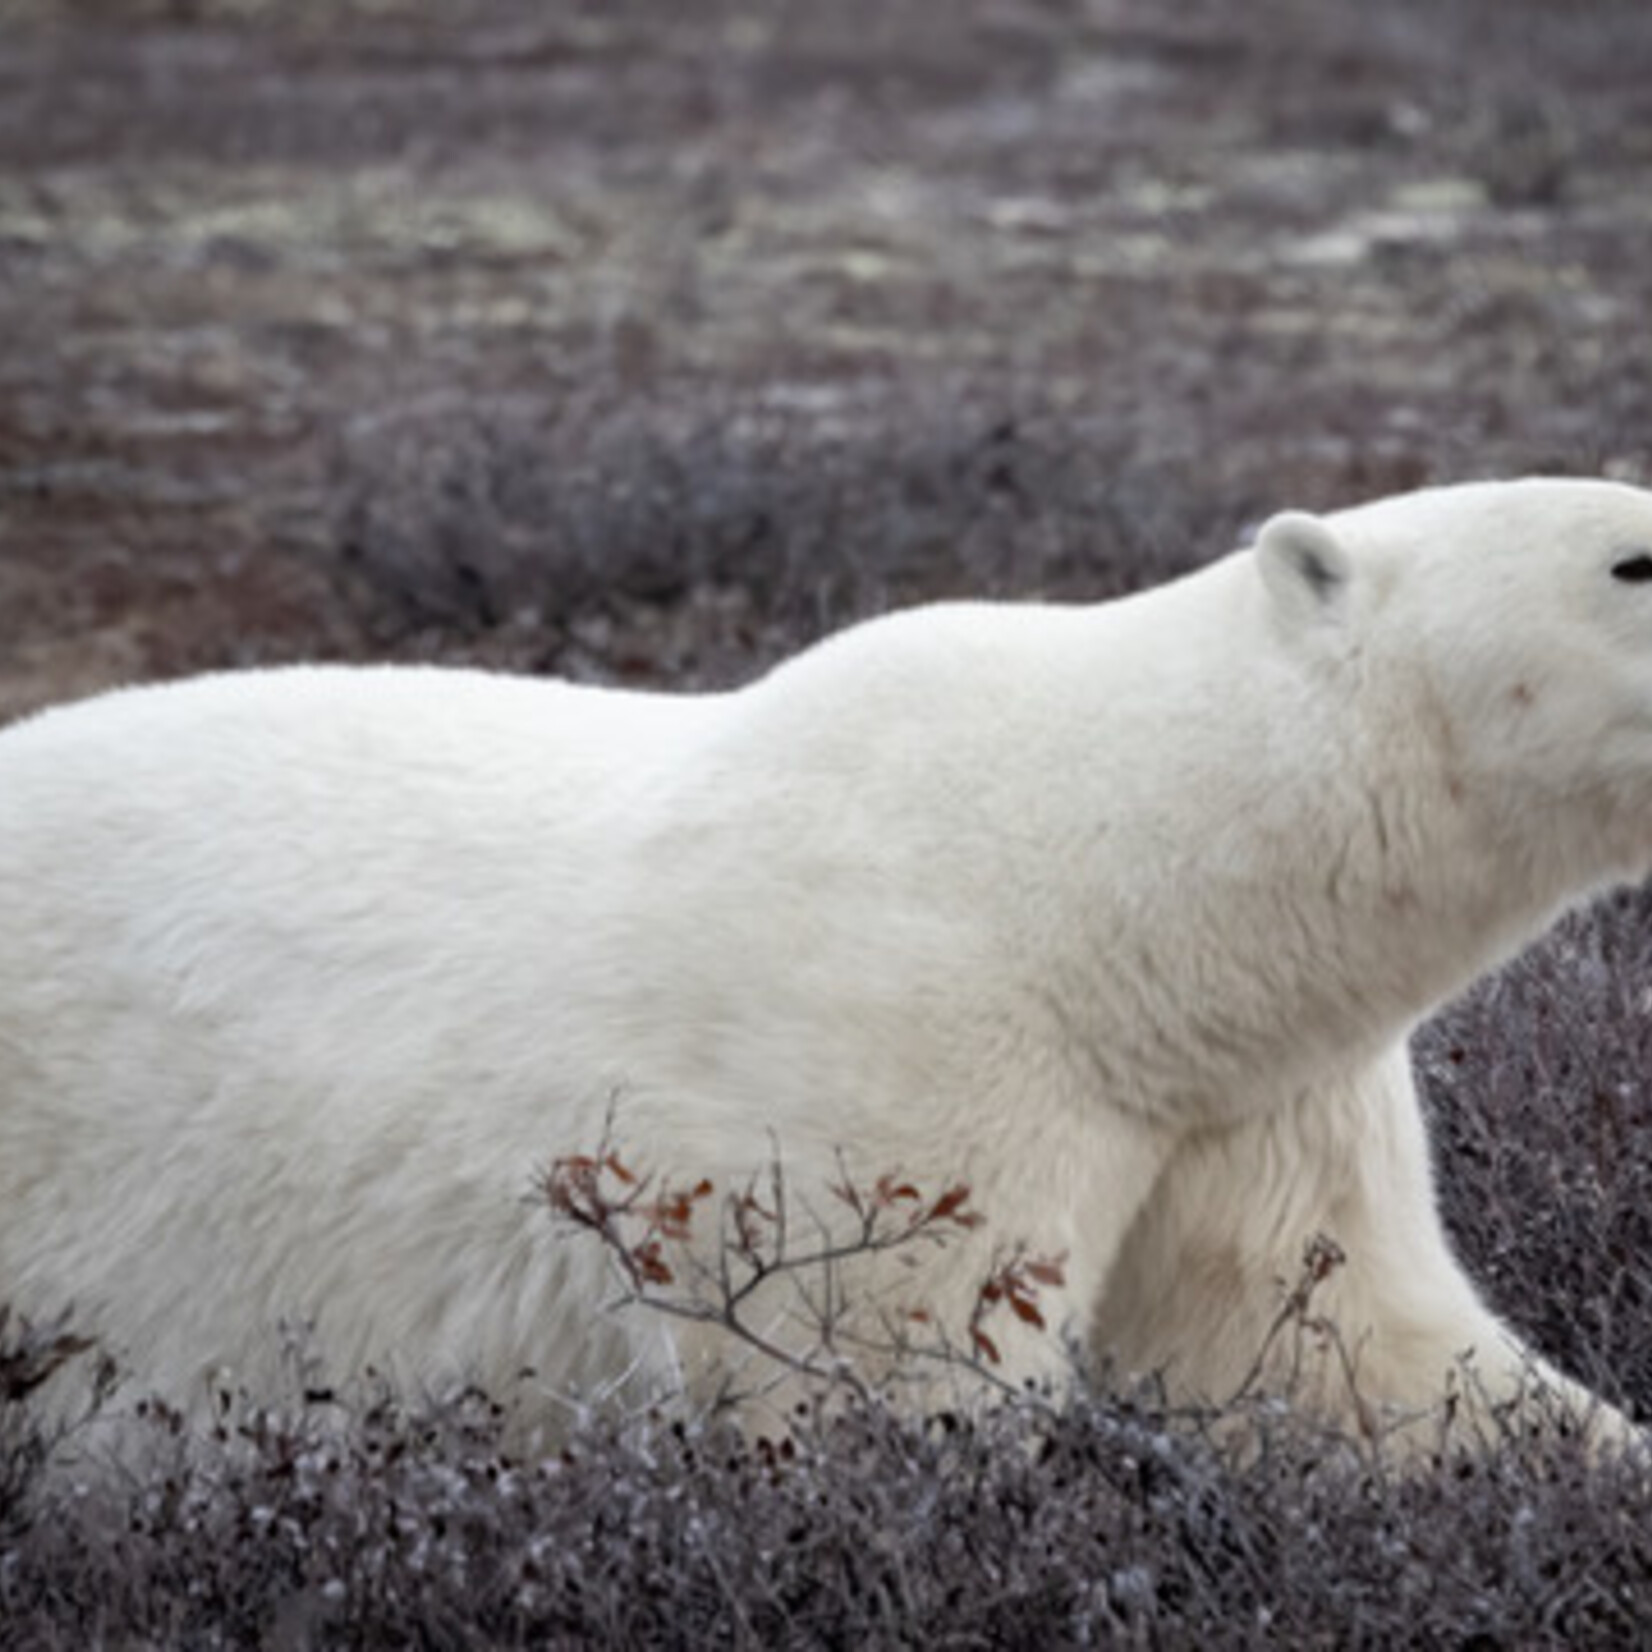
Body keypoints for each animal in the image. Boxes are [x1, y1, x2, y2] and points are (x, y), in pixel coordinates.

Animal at [3, 472, 1652, 1453]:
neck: (1108, 891)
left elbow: (1356, 1351)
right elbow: (873, 1387)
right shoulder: (888, 1075)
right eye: (1632, 555)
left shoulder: (1244, 1101)